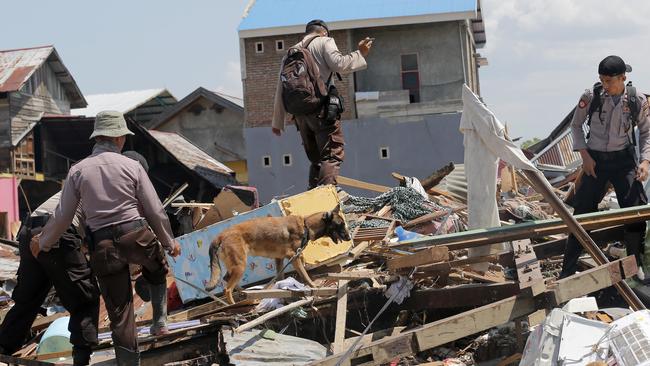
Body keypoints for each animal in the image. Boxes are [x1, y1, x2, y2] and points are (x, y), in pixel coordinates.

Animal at [206, 204, 350, 304]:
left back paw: (248, 294)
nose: (349, 238)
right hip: (240, 265)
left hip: (235, 265)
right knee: (227, 289)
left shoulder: (279, 259)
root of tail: (221, 235)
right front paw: (313, 286)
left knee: (226, 279)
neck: (306, 225)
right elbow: (305, 275)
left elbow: (280, 277)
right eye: (340, 224)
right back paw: (234, 304)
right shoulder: (295, 257)